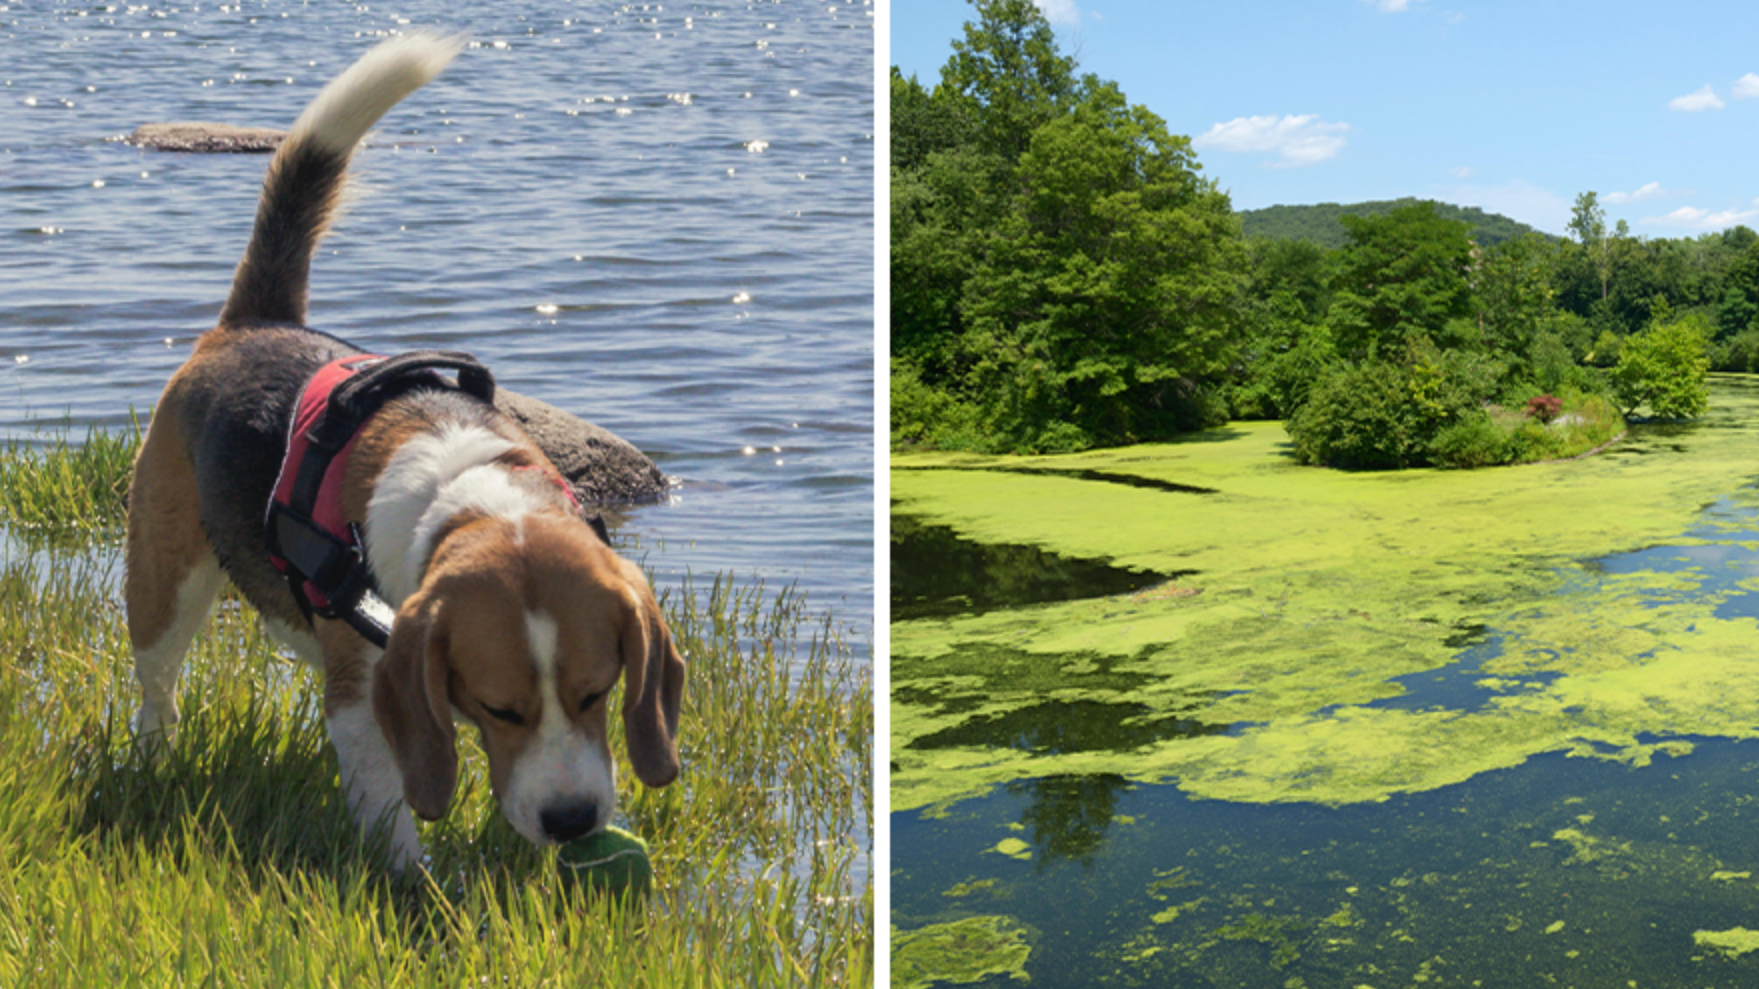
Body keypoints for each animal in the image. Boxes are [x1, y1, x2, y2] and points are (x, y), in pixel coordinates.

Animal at [124, 32, 682, 862]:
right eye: (498, 706)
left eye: (598, 690)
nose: (571, 821)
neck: (474, 498)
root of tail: (254, 323)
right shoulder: (367, 694)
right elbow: (388, 796)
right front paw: (411, 877)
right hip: (166, 579)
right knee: (157, 684)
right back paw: (153, 757)